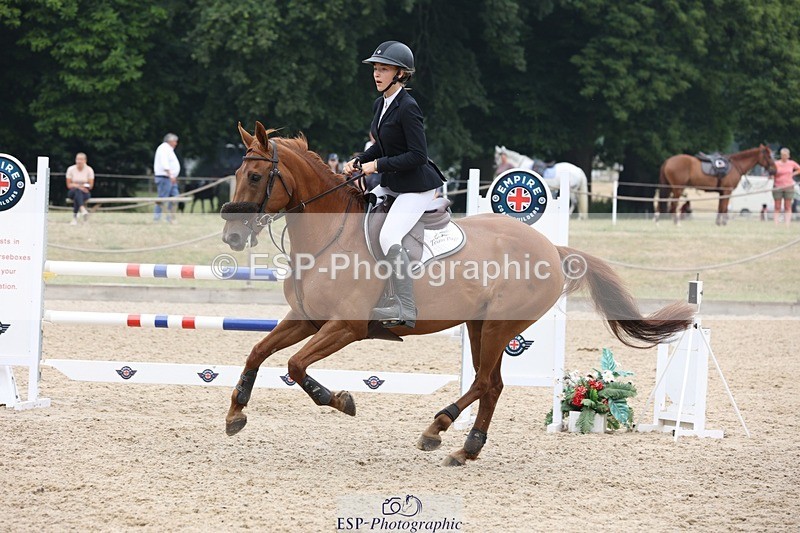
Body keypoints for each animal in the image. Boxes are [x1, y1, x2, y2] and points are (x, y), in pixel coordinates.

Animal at [220, 122, 694, 466]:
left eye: (257, 176)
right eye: (237, 174)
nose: (232, 237)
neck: (329, 235)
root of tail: (552, 250)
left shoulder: (346, 327)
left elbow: (296, 365)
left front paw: (339, 400)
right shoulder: (307, 318)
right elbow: (259, 352)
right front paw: (236, 413)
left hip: (501, 326)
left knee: (484, 381)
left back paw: (438, 429)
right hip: (480, 325)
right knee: (493, 384)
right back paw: (467, 447)